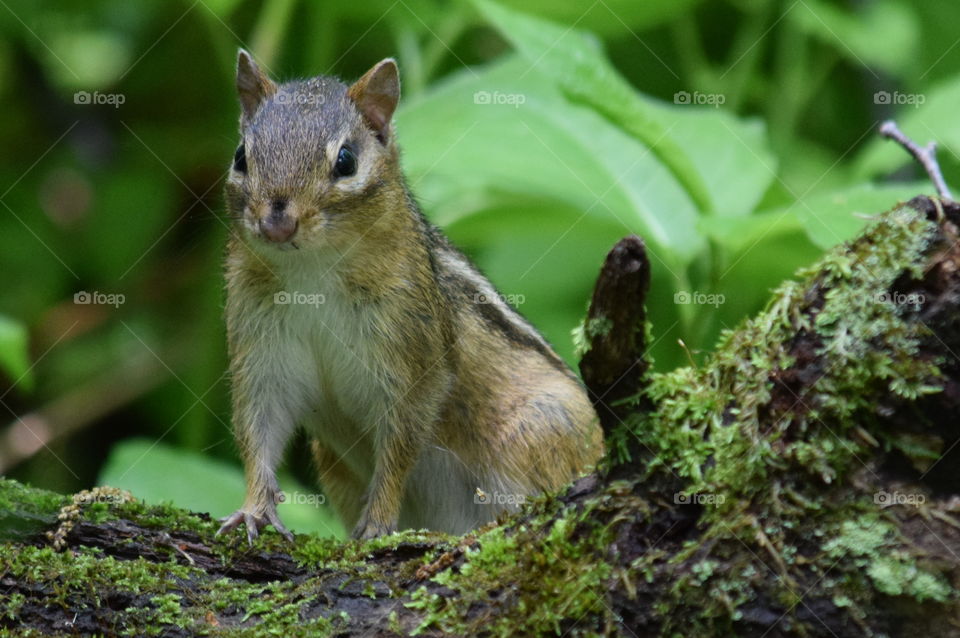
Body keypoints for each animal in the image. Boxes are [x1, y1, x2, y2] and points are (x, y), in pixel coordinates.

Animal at [216, 50, 603, 541]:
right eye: (241, 157)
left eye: (346, 160)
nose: (276, 224)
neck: (311, 273)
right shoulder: (261, 350)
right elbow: (257, 430)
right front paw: (254, 510)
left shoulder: (411, 358)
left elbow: (400, 448)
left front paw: (379, 525)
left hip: (540, 428)